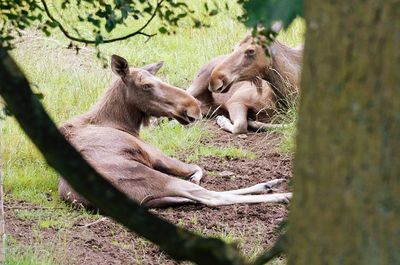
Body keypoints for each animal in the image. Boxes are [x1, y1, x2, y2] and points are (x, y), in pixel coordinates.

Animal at [57, 54, 290, 207]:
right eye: (146, 85)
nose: (193, 108)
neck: (122, 122)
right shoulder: (154, 154)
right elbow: (197, 167)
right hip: (152, 175)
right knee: (210, 197)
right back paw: (281, 194)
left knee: (197, 196)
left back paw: (270, 184)